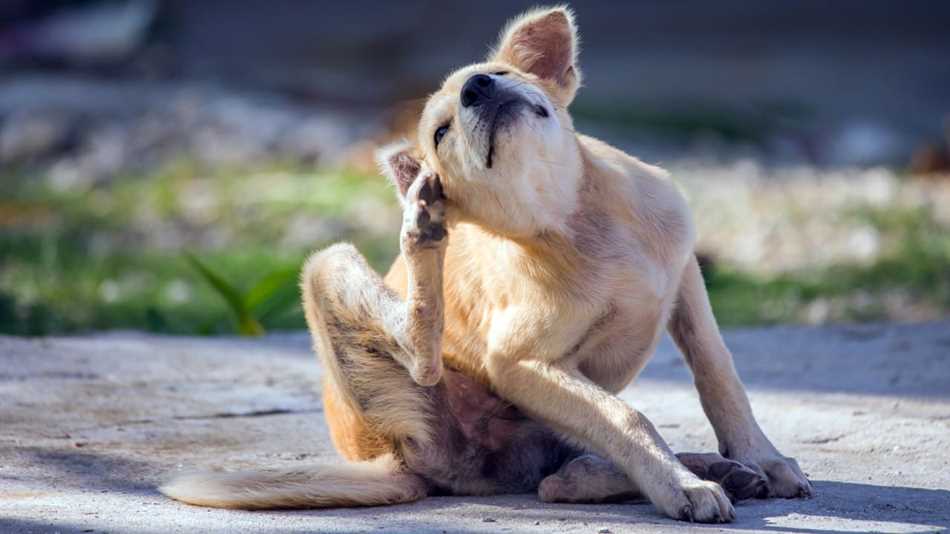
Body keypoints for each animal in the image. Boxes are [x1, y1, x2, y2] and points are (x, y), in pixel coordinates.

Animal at [160, 5, 816, 524]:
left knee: (558, 473)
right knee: (451, 381)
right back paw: (422, 233)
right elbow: (626, 416)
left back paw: (712, 469)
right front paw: (681, 487)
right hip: (334, 274)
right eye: (441, 131)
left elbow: (718, 374)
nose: (478, 87)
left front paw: (759, 457)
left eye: (498, 75)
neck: (575, 219)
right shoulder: (521, 363)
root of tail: (385, 457)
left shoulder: (684, 280)